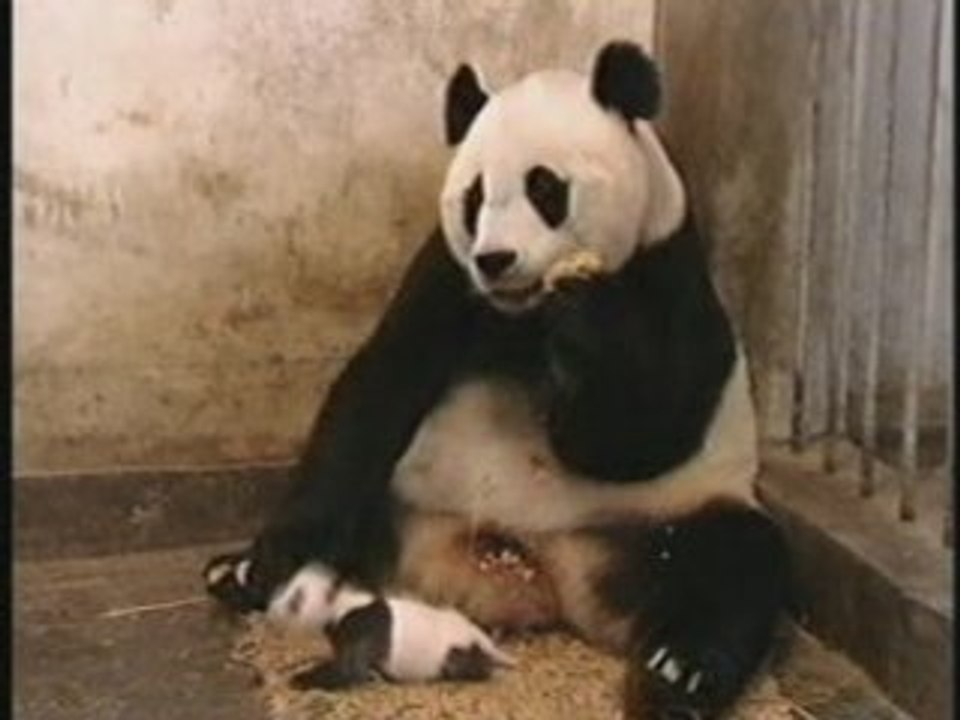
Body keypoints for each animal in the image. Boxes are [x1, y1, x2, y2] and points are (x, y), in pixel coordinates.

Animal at [205, 41, 792, 719]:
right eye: (475, 196)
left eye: (546, 188)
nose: (496, 259)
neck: (524, 313)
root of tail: (538, 575)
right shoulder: (444, 276)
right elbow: (379, 386)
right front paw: (272, 559)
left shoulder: (667, 273)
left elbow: (638, 436)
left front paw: (584, 319)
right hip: (406, 500)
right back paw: (235, 574)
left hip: (662, 519)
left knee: (736, 562)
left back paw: (678, 674)